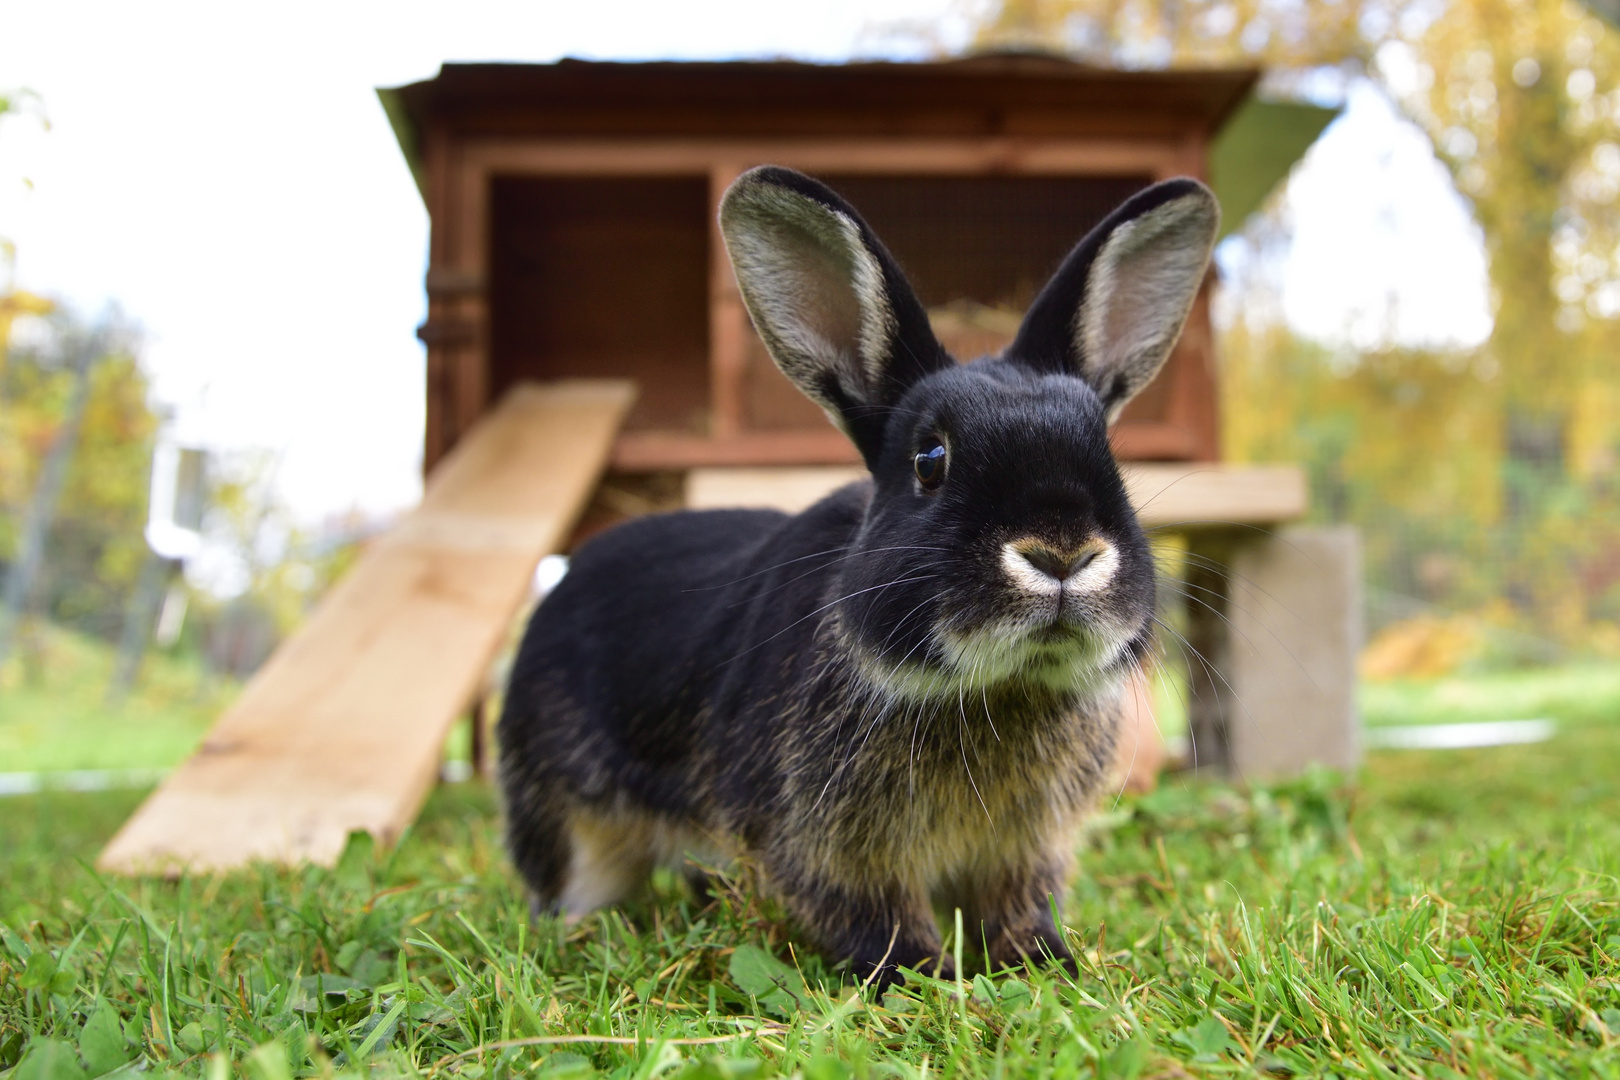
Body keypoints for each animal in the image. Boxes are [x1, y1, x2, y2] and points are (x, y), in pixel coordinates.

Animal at [495, 166, 1218, 990]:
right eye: (930, 460)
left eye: (1109, 454)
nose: (1062, 552)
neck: (998, 688)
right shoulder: (830, 848)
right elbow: (871, 913)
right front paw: (920, 974)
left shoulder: (1022, 850)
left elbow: (1017, 905)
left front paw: (1045, 962)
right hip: (568, 815)